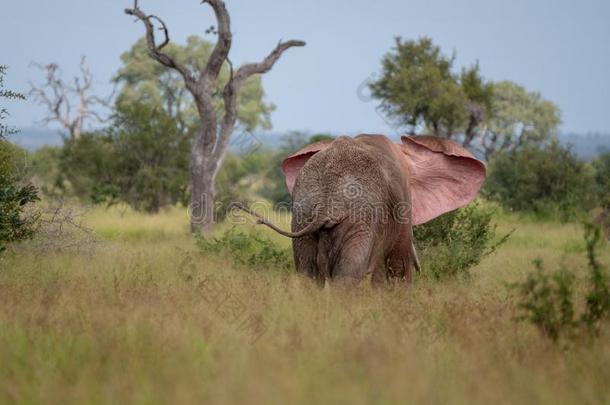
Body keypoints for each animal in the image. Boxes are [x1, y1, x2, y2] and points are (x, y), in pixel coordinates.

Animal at [235, 134, 482, 282]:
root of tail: (326, 202)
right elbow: (398, 267)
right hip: (359, 219)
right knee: (348, 274)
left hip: (304, 214)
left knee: (308, 274)